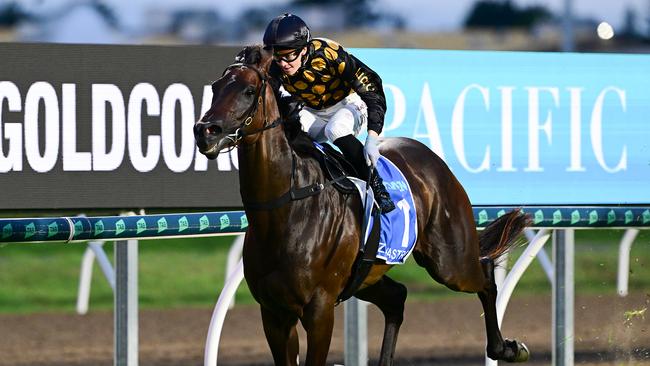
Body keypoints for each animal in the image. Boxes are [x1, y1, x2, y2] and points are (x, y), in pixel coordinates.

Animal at [191, 46, 528, 366]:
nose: (206, 131)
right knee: (398, 297)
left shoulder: (319, 309)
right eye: (215, 87)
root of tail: (433, 158)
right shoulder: (274, 314)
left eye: (249, 90)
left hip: (449, 261)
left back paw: (507, 348)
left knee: (485, 275)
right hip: (368, 275)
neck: (285, 210)